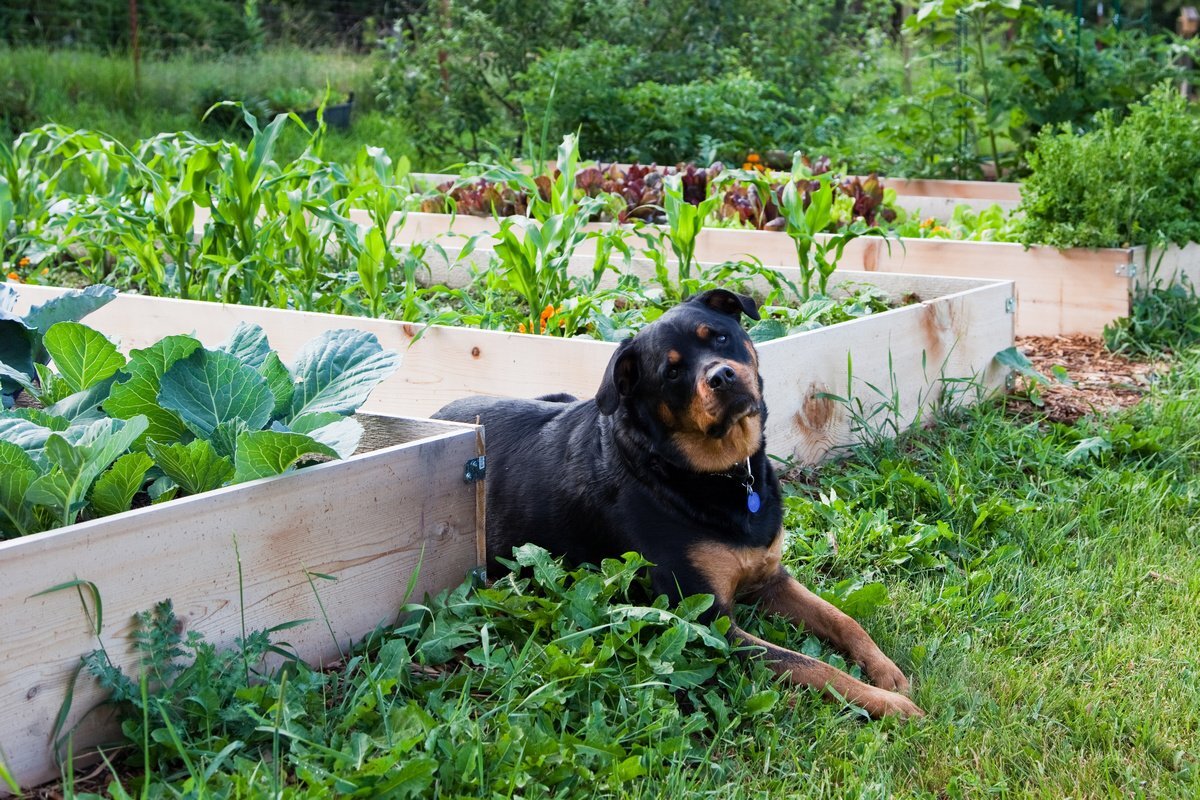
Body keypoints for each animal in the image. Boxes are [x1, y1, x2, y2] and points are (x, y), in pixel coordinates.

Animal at [436, 287, 921, 719]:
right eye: (670, 373)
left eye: (720, 338)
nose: (721, 376)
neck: (717, 473)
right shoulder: (710, 624)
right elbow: (812, 665)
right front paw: (888, 704)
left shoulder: (770, 579)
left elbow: (843, 619)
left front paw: (888, 672)